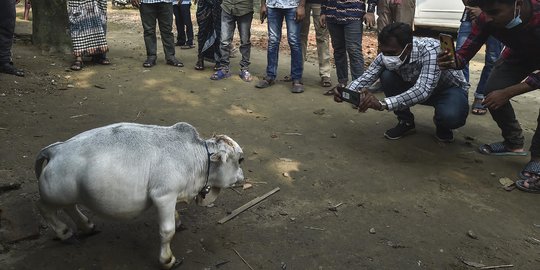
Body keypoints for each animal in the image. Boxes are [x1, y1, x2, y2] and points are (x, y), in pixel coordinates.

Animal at [34, 122, 244, 268]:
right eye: (241, 159)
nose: (243, 177)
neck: (196, 157)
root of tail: (54, 149)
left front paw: (178, 220)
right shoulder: (164, 195)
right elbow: (167, 231)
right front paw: (167, 260)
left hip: (70, 194)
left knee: (70, 207)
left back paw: (87, 226)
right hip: (54, 195)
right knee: (44, 208)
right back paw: (64, 232)